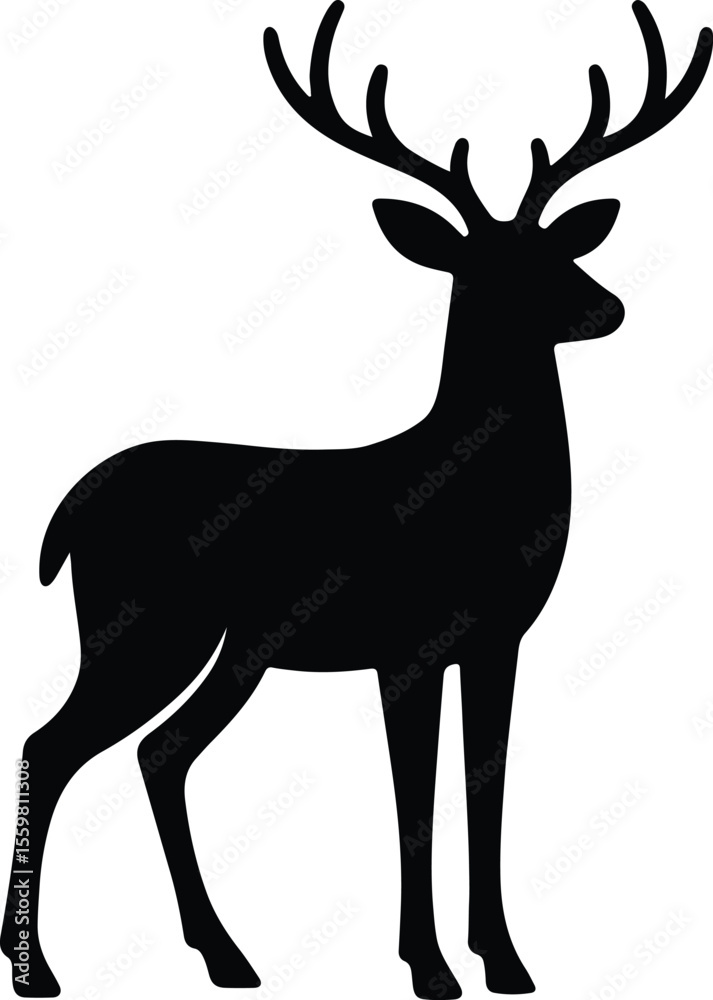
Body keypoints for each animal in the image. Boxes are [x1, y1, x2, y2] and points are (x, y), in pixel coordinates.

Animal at [2, 2, 710, 997]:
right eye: (484, 268)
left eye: (553, 250)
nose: (606, 307)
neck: (471, 494)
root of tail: (64, 515)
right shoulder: (405, 645)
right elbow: (411, 797)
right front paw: (430, 969)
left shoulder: (496, 640)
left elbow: (484, 787)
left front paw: (506, 963)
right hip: (147, 626)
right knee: (53, 743)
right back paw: (39, 969)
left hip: (234, 647)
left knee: (157, 752)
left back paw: (224, 956)